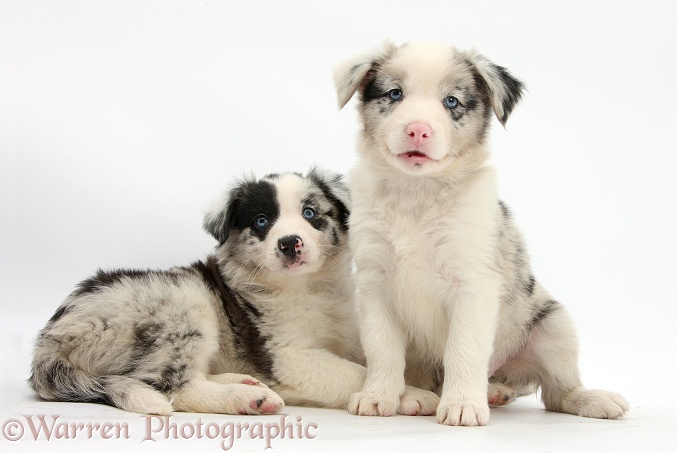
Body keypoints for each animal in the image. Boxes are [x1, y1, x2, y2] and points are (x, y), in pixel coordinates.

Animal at [30, 169, 380, 414]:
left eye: (310, 213)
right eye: (261, 221)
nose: (289, 242)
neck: (308, 288)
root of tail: (48, 340)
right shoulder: (286, 356)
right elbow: (353, 373)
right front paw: (387, 395)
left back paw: (242, 381)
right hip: (184, 305)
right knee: (175, 387)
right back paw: (246, 396)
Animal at [332, 41, 628, 424]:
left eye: (451, 101)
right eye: (395, 94)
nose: (418, 130)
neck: (417, 194)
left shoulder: (472, 286)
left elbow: (464, 350)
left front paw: (461, 405)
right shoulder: (375, 285)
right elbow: (383, 349)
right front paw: (378, 395)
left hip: (554, 326)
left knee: (557, 393)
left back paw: (578, 398)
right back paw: (424, 396)